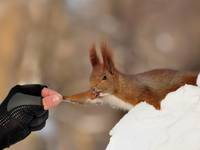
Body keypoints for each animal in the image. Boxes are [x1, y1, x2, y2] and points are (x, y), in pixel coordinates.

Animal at [63, 43, 198, 110]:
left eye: (104, 77)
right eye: (90, 76)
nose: (93, 88)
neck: (115, 91)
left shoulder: (139, 90)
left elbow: (152, 99)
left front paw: (158, 110)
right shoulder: (101, 98)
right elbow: (84, 98)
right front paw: (63, 96)